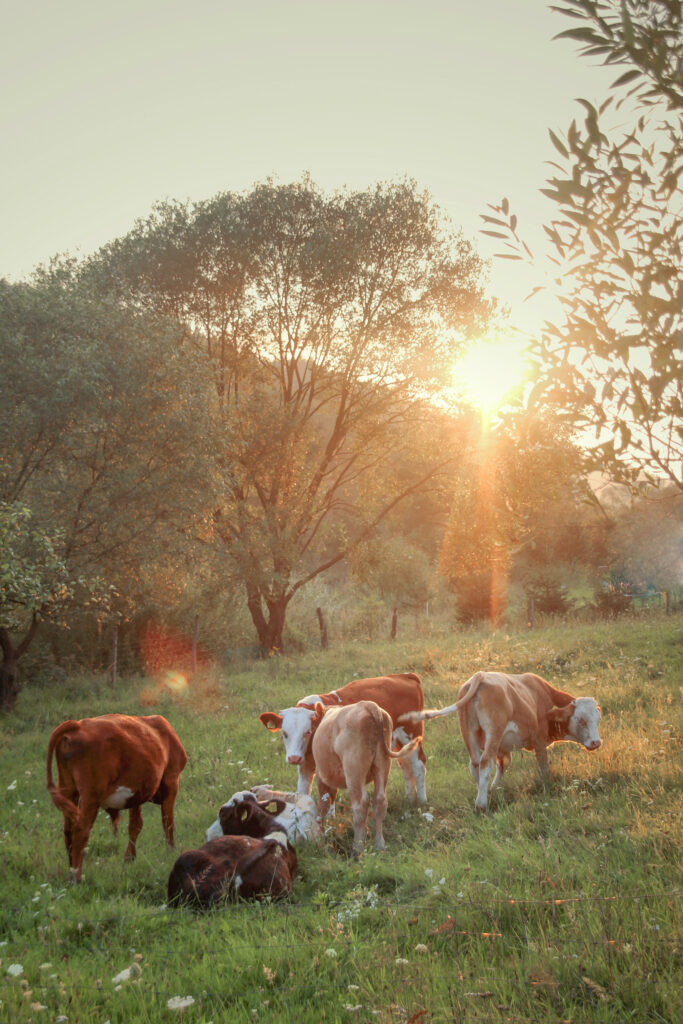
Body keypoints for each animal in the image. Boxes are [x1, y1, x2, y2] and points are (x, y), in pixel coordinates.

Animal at [47, 712, 187, 880]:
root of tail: (77, 725)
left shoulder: (136, 795)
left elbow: (135, 825)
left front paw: (129, 859)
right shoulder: (171, 781)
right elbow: (168, 822)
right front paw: (171, 852)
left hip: (68, 789)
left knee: (68, 830)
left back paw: (70, 871)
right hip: (91, 795)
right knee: (81, 830)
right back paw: (76, 876)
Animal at [258, 675, 428, 802]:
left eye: (307, 731)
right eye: (284, 733)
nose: (293, 758)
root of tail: (405, 676)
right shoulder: (305, 765)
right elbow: (303, 792)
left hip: (412, 734)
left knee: (418, 765)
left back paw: (421, 802)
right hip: (397, 742)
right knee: (405, 765)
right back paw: (410, 799)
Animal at [313, 696, 421, 856]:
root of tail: (369, 706)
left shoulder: (322, 776)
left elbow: (322, 805)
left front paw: (318, 837)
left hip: (354, 769)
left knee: (360, 804)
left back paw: (357, 849)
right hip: (382, 764)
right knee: (380, 801)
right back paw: (379, 844)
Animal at [397, 671, 602, 815]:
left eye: (598, 719)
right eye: (581, 720)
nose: (596, 742)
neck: (541, 693)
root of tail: (479, 676)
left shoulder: (503, 747)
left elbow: (504, 764)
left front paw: (495, 788)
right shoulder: (538, 739)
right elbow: (543, 764)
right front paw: (547, 784)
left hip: (469, 733)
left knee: (475, 764)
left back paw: (482, 792)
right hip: (493, 732)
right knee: (485, 762)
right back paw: (481, 804)